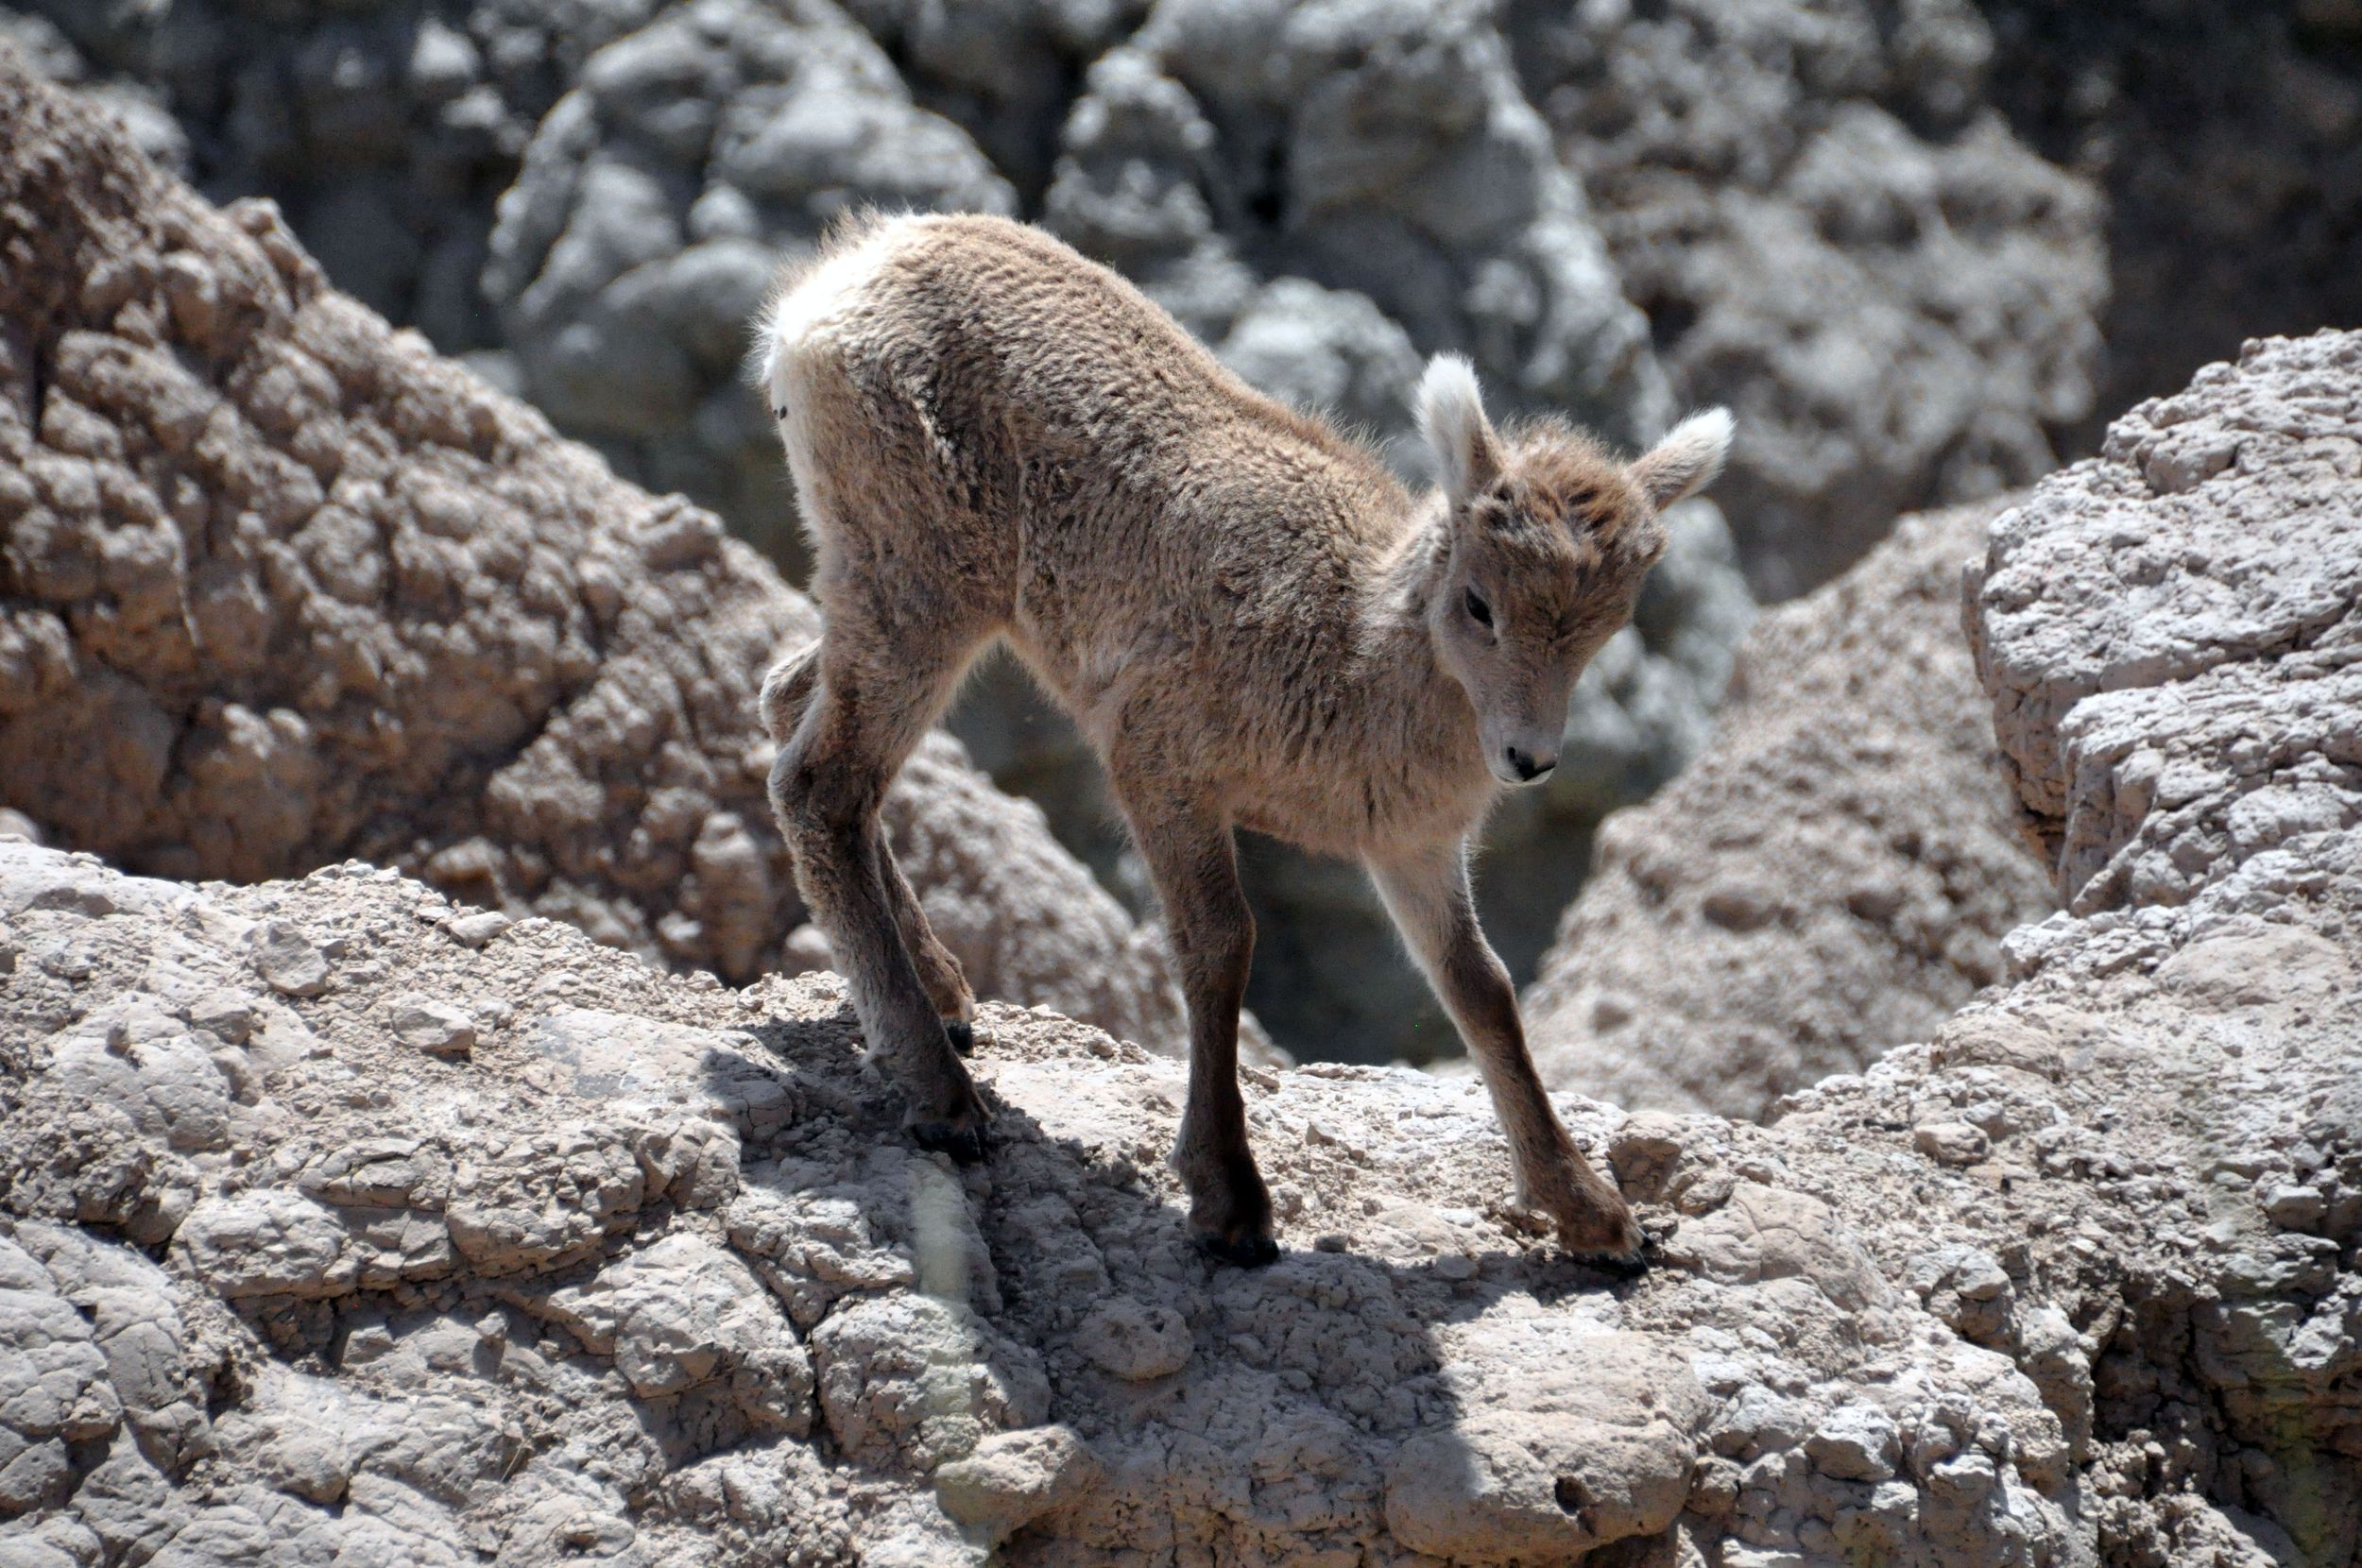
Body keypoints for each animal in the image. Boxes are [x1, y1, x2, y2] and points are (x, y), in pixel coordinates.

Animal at [755, 212, 1730, 1267]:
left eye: (1607, 627)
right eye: (1479, 603)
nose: (1526, 758)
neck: (1345, 644)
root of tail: (840, 282)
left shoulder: (1412, 848)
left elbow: (1482, 989)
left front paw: (1597, 1217)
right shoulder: (1160, 766)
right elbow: (1220, 945)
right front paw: (1230, 1203)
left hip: (890, 596)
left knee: (789, 705)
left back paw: (944, 999)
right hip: (920, 588)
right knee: (823, 784)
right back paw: (943, 1096)